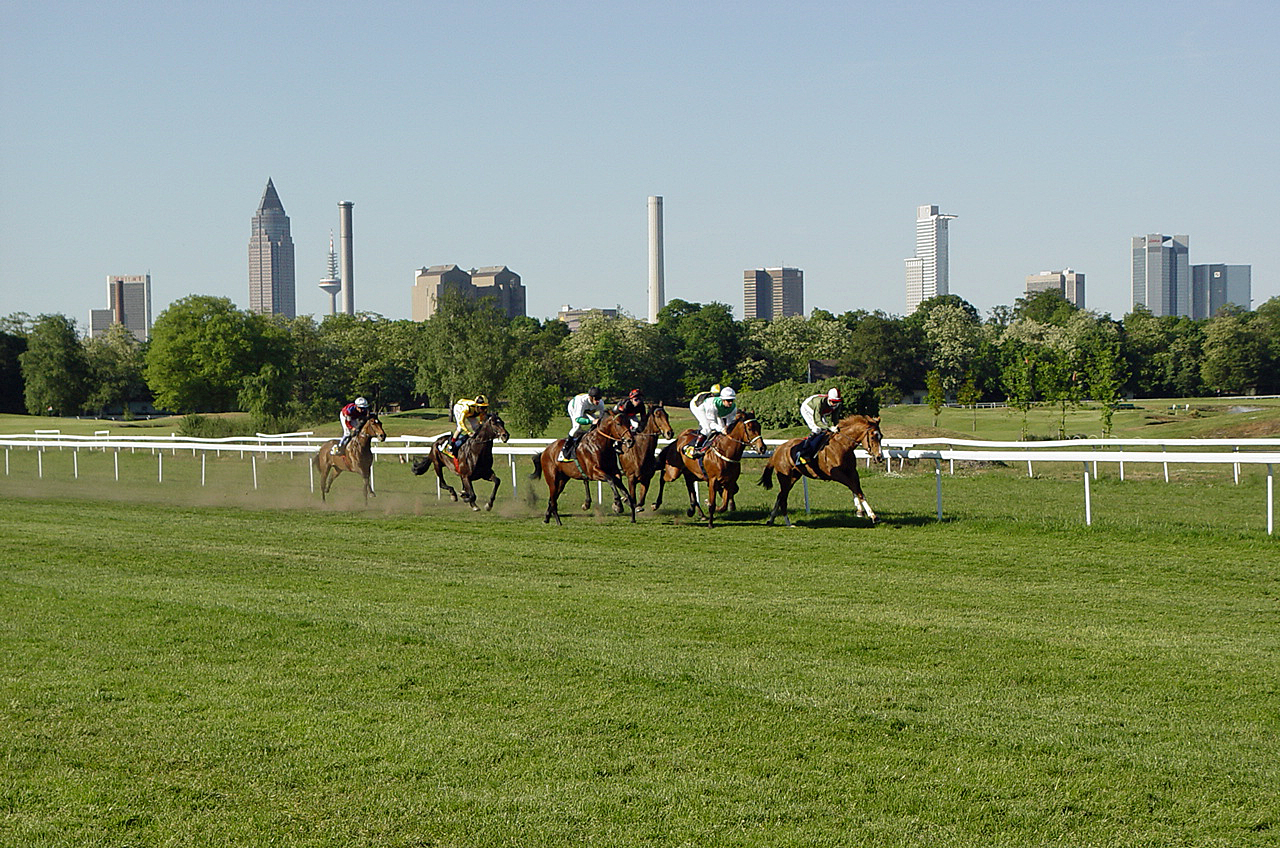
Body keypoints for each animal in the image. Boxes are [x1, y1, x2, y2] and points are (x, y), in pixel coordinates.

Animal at [752, 415, 885, 527]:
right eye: (872, 437)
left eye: (881, 436)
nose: (879, 457)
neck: (842, 445)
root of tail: (778, 450)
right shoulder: (836, 474)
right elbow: (854, 487)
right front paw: (873, 516)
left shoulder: (852, 472)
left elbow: (856, 489)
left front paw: (860, 511)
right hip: (784, 476)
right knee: (783, 497)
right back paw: (788, 523)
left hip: (793, 477)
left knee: (780, 495)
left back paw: (771, 519)